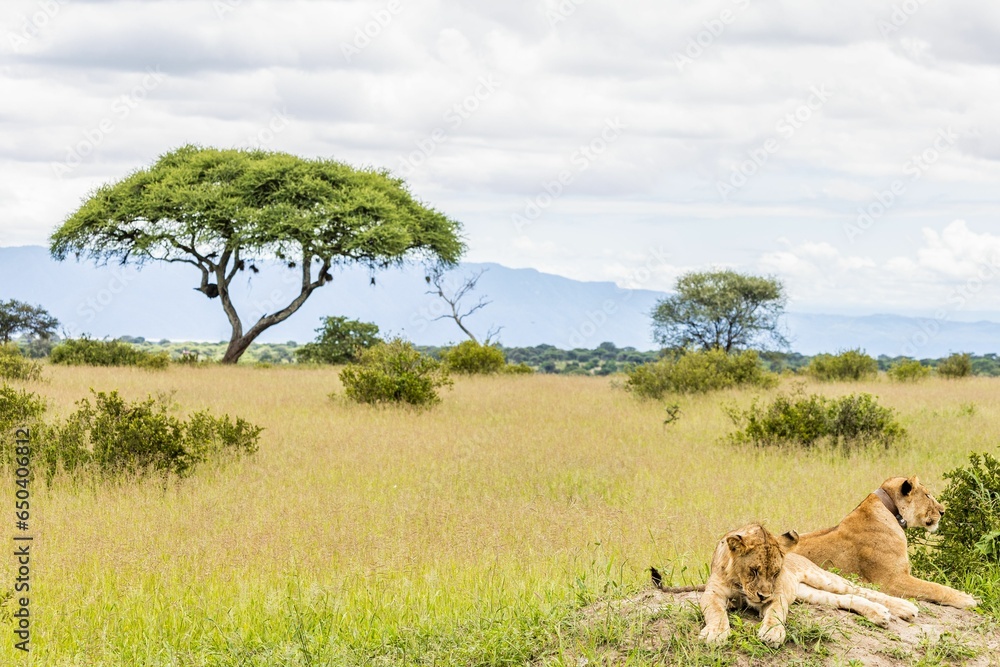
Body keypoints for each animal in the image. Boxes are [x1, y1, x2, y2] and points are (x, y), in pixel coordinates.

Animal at [654, 523, 918, 648]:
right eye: (754, 570)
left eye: (776, 572)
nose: (762, 595)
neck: (741, 585)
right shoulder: (712, 593)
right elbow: (716, 613)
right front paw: (716, 633)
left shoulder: (777, 595)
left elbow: (776, 614)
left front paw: (772, 633)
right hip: (809, 594)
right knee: (849, 599)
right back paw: (879, 614)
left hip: (823, 578)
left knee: (861, 591)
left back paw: (904, 608)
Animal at [777, 476, 977, 609]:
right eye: (927, 495)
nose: (943, 511)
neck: (893, 512)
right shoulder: (891, 581)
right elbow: (934, 588)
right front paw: (967, 598)